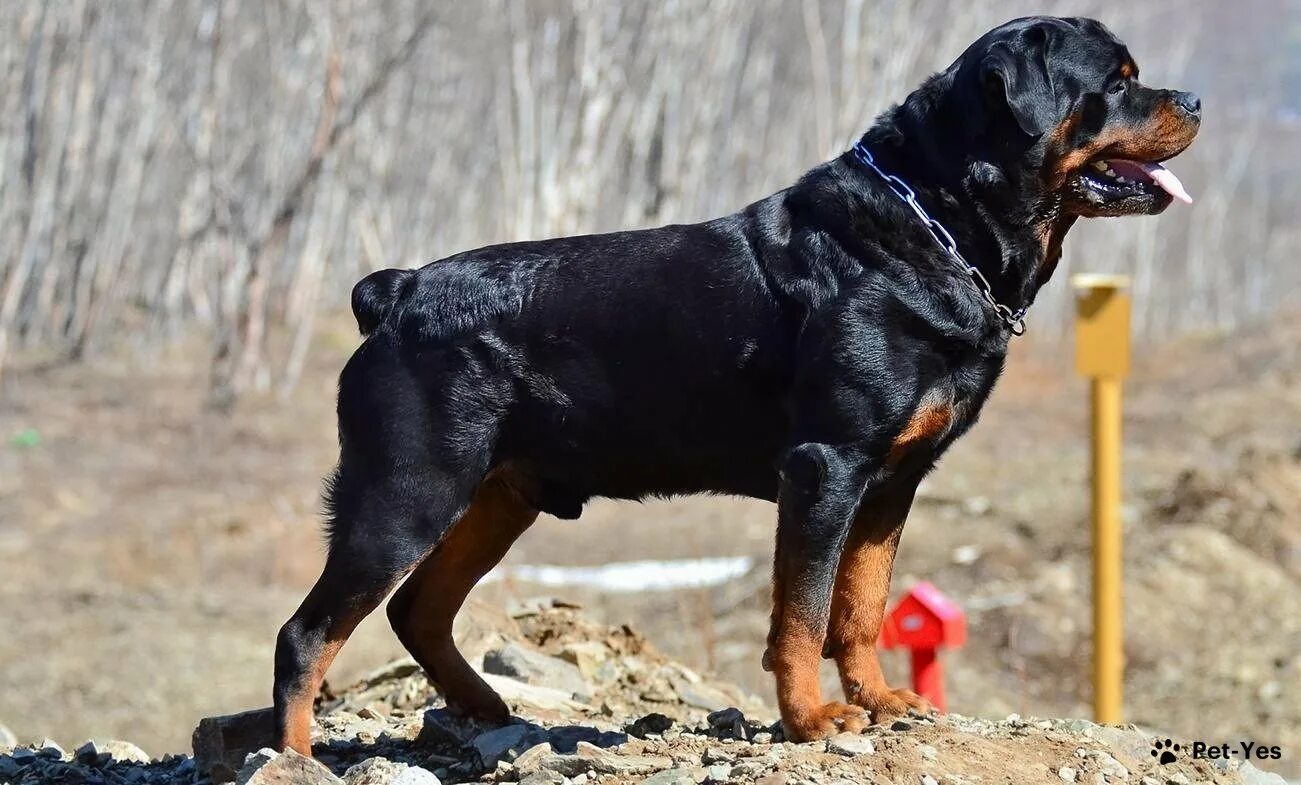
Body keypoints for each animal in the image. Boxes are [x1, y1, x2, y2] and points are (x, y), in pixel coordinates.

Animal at [271, 12, 1196, 749]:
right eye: (1117, 82)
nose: (1192, 101)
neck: (935, 225)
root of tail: (396, 292)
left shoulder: (892, 480)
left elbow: (860, 604)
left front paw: (880, 699)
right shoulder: (827, 466)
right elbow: (803, 610)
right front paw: (812, 718)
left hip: (499, 495)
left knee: (417, 609)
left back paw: (486, 705)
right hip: (406, 488)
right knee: (306, 633)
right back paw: (297, 755)